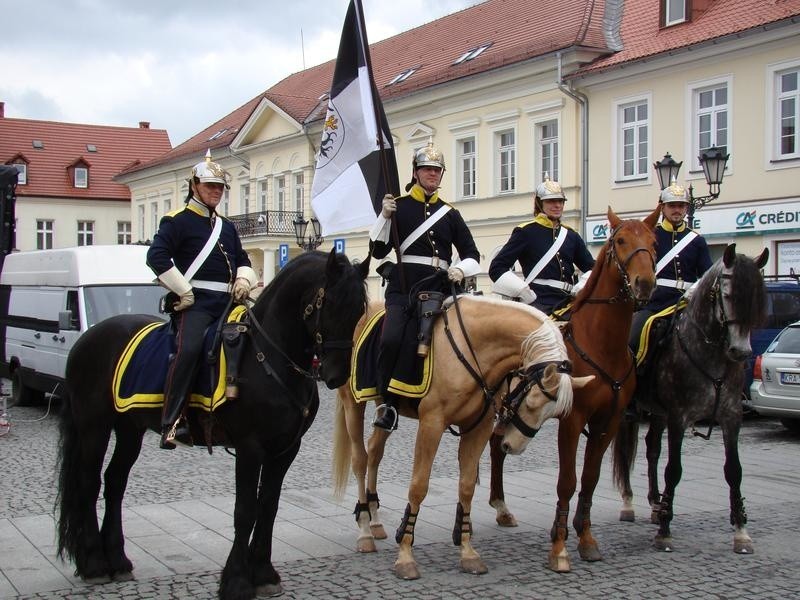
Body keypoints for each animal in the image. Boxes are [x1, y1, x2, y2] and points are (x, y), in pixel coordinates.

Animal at [55, 251, 368, 600]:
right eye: (331, 303)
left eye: (360, 309)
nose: (337, 375)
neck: (268, 357)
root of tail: (87, 338)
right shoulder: (250, 447)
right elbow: (245, 510)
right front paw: (237, 580)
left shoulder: (285, 449)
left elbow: (269, 506)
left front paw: (264, 572)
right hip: (93, 427)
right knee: (88, 483)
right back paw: (95, 563)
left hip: (129, 429)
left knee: (114, 482)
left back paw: (118, 560)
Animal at [332, 292, 592, 580]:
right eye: (533, 402)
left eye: (553, 414)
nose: (512, 446)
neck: (474, 348)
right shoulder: (432, 425)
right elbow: (418, 486)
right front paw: (405, 555)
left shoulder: (479, 428)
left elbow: (467, 487)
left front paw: (468, 552)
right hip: (352, 404)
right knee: (360, 458)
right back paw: (365, 530)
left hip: (384, 407)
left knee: (375, 452)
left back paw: (376, 521)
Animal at [494, 206, 656, 572]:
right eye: (620, 241)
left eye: (654, 242)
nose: (645, 284)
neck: (601, 345)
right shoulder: (572, 419)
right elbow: (567, 481)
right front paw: (559, 546)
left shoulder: (608, 422)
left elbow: (591, 479)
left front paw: (586, 537)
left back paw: (502, 509)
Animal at [612, 243, 768, 552]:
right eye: (727, 295)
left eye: (757, 298)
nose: (741, 352)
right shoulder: (678, 417)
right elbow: (674, 469)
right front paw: (664, 532)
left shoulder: (732, 416)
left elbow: (734, 470)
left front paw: (741, 531)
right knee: (626, 451)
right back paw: (629, 503)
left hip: (656, 412)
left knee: (651, 448)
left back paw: (656, 504)